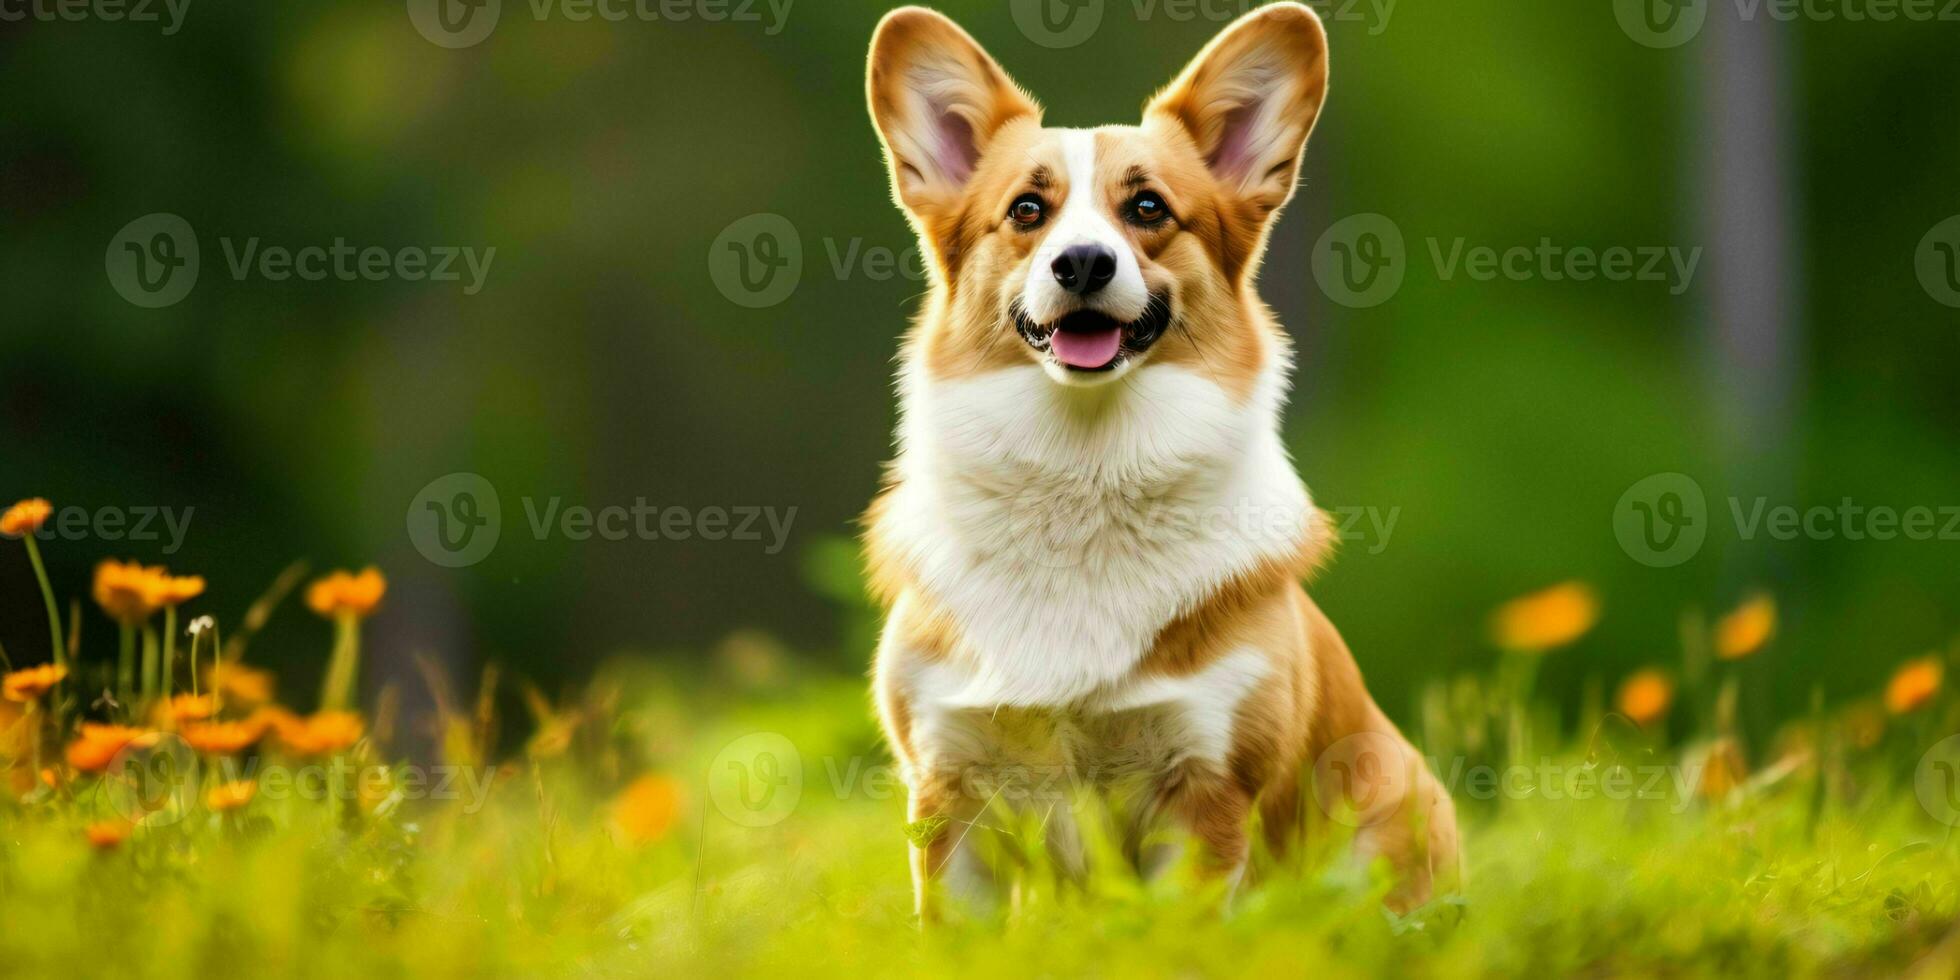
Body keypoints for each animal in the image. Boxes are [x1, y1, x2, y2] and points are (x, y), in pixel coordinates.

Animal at [858, 3, 1458, 913]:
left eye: (1147, 207)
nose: (1083, 262)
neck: (1082, 473)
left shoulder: (1205, 784)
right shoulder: (949, 786)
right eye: (1027, 210)